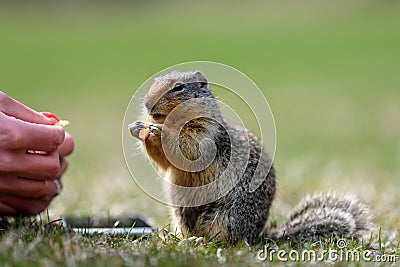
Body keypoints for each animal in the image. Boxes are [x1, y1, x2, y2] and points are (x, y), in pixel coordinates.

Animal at [130, 70, 374, 245]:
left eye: (178, 87)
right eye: (154, 83)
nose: (147, 103)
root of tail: (258, 236)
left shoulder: (205, 134)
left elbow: (188, 150)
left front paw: (158, 132)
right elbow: (164, 163)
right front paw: (138, 128)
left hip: (226, 216)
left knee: (226, 240)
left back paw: (202, 242)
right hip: (180, 213)